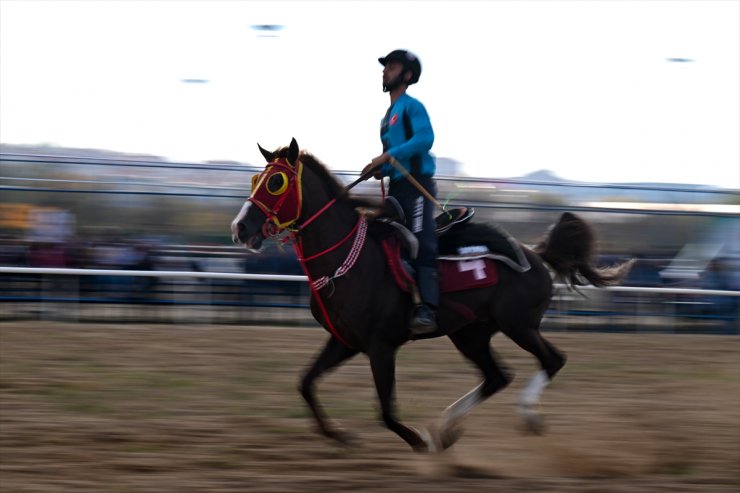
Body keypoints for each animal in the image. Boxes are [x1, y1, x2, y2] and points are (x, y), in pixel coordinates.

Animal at [230, 137, 632, 450]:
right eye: (256, 178)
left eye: (276, 182)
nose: (240, 227)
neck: (348, 258)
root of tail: (535, 254)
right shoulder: (344, 340)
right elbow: (306, 383)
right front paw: (340, 434)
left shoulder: (380, 345)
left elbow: (386, 411)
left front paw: (418, 441)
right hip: (470, 333)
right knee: (496, 376)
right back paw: (447, 427)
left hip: (519, 325)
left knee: (552, 360)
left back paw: (525, 417)